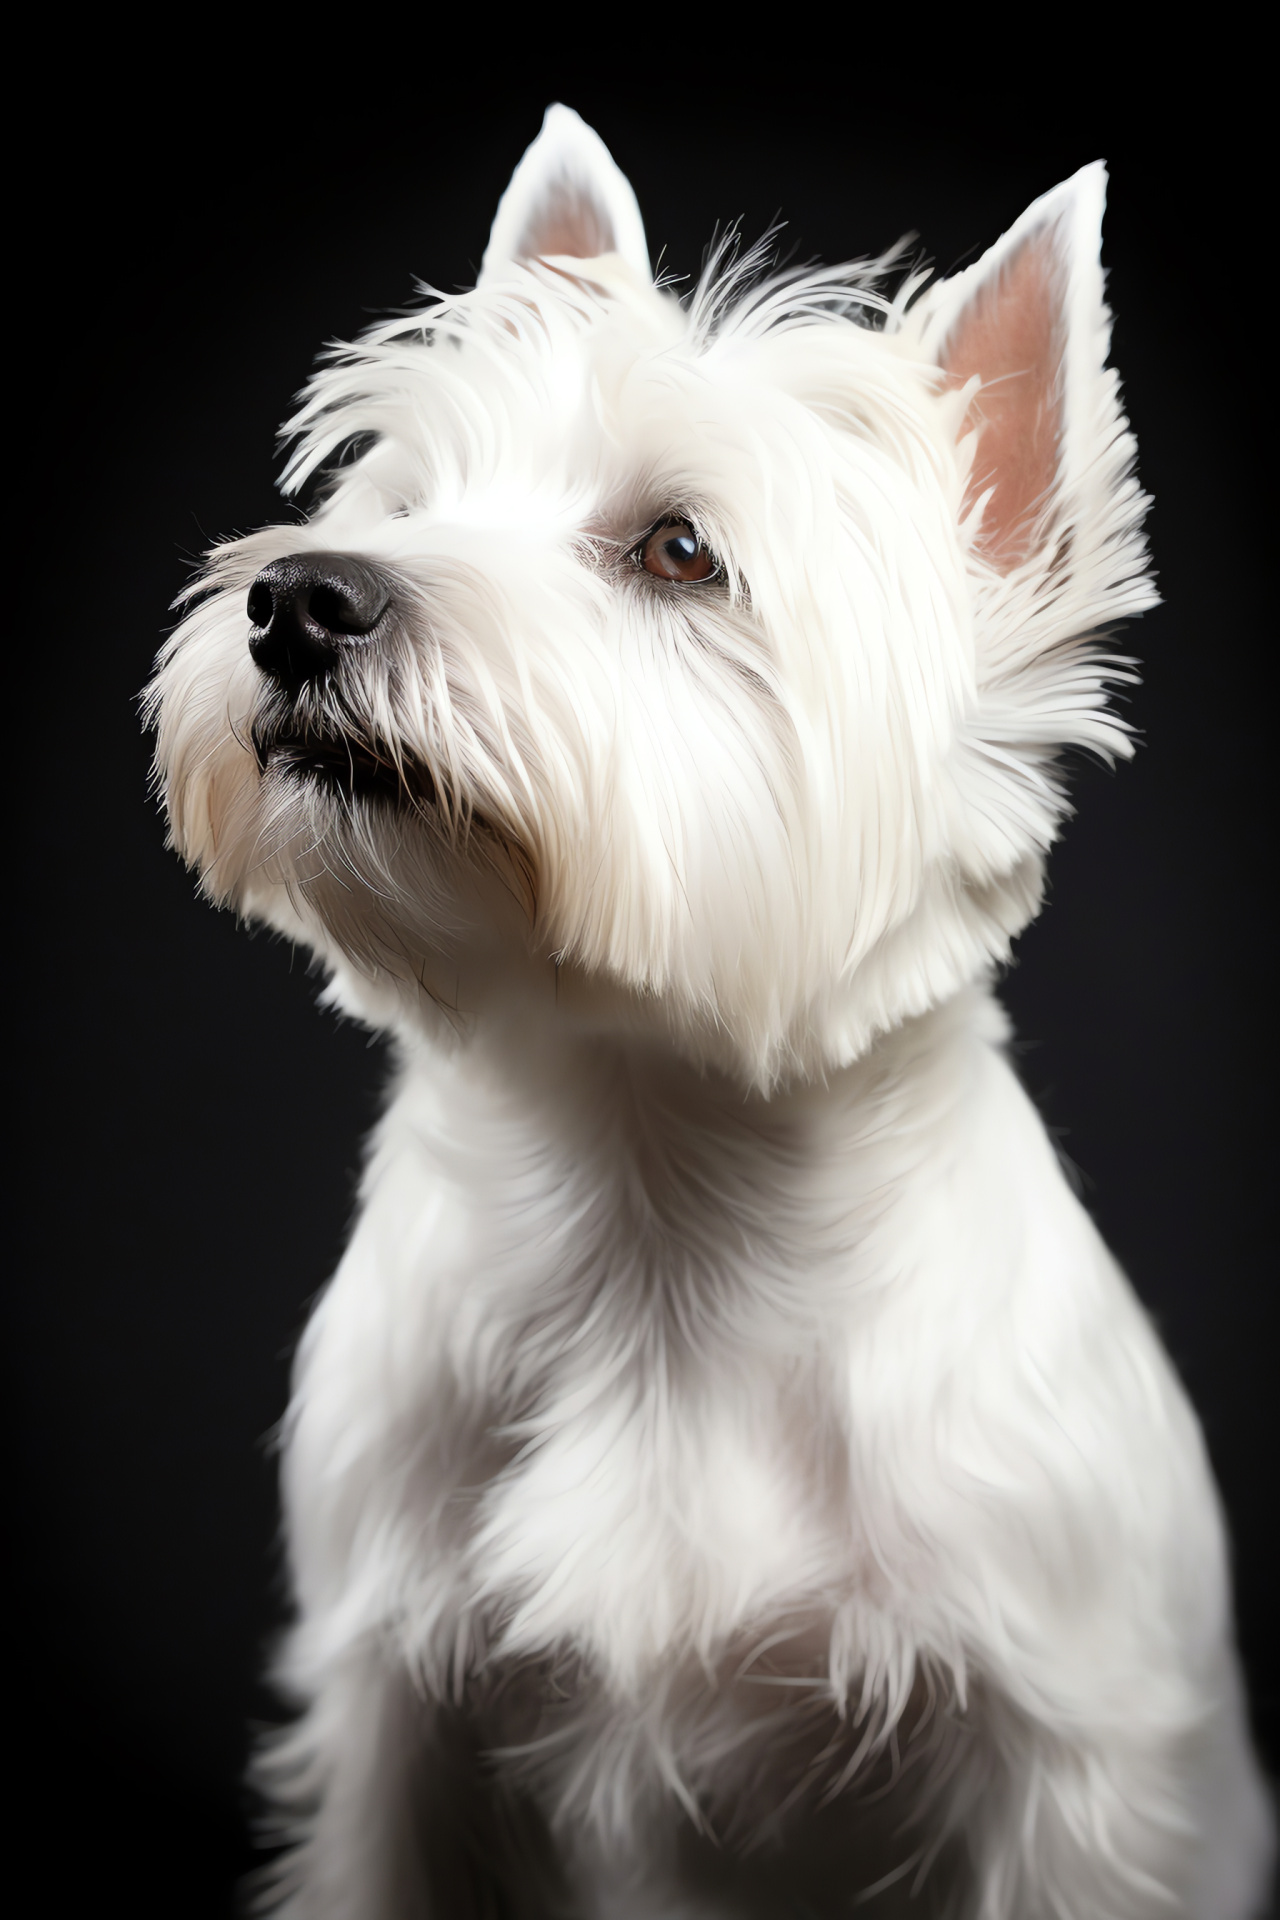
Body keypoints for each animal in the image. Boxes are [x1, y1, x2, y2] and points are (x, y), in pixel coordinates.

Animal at [147, 108, 1274, 1920]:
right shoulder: (399, 1709)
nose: (298, 600)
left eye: (678, 552)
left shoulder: (1071, 1761)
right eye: (407, 500)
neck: (654, 1206)